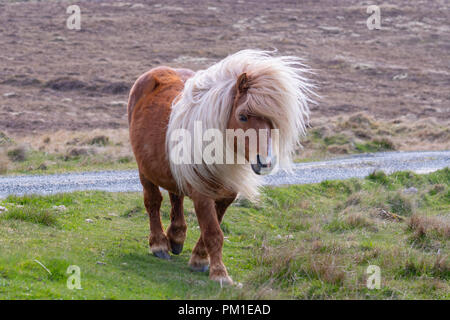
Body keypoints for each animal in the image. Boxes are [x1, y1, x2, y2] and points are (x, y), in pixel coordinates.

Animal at [127, 48, 312, 284]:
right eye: (242, 116)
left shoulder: (226, 195)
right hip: (145, 171)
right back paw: (159, 244)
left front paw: (199, 259)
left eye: (273, 122)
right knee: (153, 201)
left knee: (175, 197)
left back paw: (176, 238)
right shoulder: (202, 194)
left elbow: (212, 230)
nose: (265, 161)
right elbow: (213, 232)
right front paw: (219, 274)